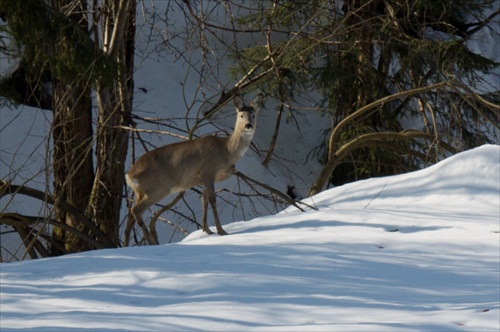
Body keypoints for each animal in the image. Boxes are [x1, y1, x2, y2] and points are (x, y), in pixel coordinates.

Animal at [125, 94, 264, 245]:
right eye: (241, 115)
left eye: (254, 115)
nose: (248, 125)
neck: (227, 151)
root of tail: (129, 175)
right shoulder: (207, 172)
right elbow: (212, 200)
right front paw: (221, 231)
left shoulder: (202, 179)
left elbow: (204, 199)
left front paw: (207, 230)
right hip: (157, 187)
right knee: (136, 210)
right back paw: (151, 242)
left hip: (140, 192)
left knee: (130, 216)